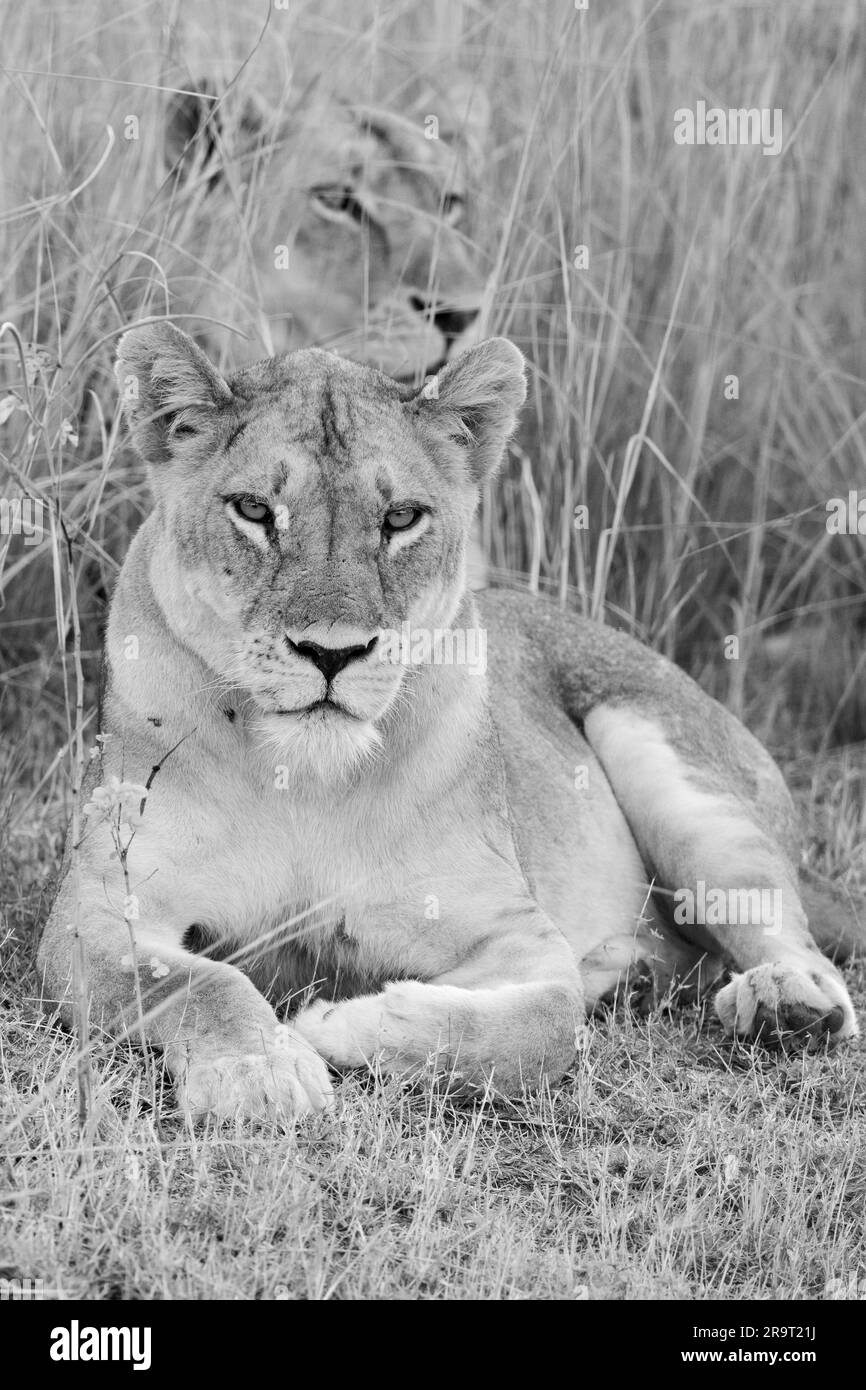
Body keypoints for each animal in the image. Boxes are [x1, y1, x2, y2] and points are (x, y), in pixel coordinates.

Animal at [38, 321, 862, 1120]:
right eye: (253, 511)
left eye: (400, 518)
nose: (331, 653)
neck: (301, 777)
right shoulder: (97, 910)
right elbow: (195, 981)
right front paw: (259, 1070)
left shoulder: (518, 933)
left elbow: (545, 1025)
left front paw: (340, 1024)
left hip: (668, 768)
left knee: (795, 943)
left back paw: (782, 1005)